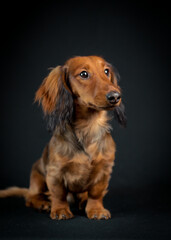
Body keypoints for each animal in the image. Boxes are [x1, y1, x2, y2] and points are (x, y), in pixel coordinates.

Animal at [0, 55, 125, 219]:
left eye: (106, 71)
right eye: (84, 74)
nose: (115, 96)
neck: (88, 128)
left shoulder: (104, 169)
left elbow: (96, 193)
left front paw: (96, 210)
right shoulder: (55, 172)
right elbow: (58, 194)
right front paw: (60, 210)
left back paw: (82, 201)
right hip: (37, 175)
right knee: (31, 197)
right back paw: (42, 203)